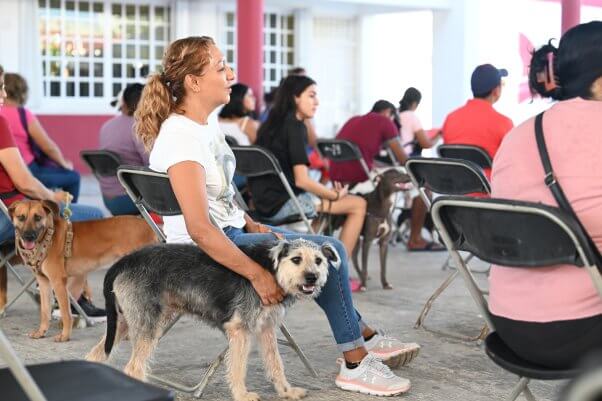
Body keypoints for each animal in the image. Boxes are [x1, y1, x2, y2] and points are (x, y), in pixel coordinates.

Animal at [8, 200, 157, 340]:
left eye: (38, 217)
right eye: (21, 217)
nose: (28, 236)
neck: (48, 238)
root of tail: (149, 228)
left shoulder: (58, 282)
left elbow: (66, 313)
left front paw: (65, 336)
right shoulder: (44, 283)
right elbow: (44, 312)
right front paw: (41, 332)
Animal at [86, 238, 338, 400]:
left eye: (318, 260)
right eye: (296, 259)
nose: (312, 277)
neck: (271, 269)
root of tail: (126, 260)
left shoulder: (266, 328)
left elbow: (276, 364)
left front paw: (286, 391)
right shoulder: (240, 330)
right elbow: (238, 367)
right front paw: (242, 395)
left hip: (124, 323)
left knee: (94, 357)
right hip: (147, 327)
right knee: (133, 369)